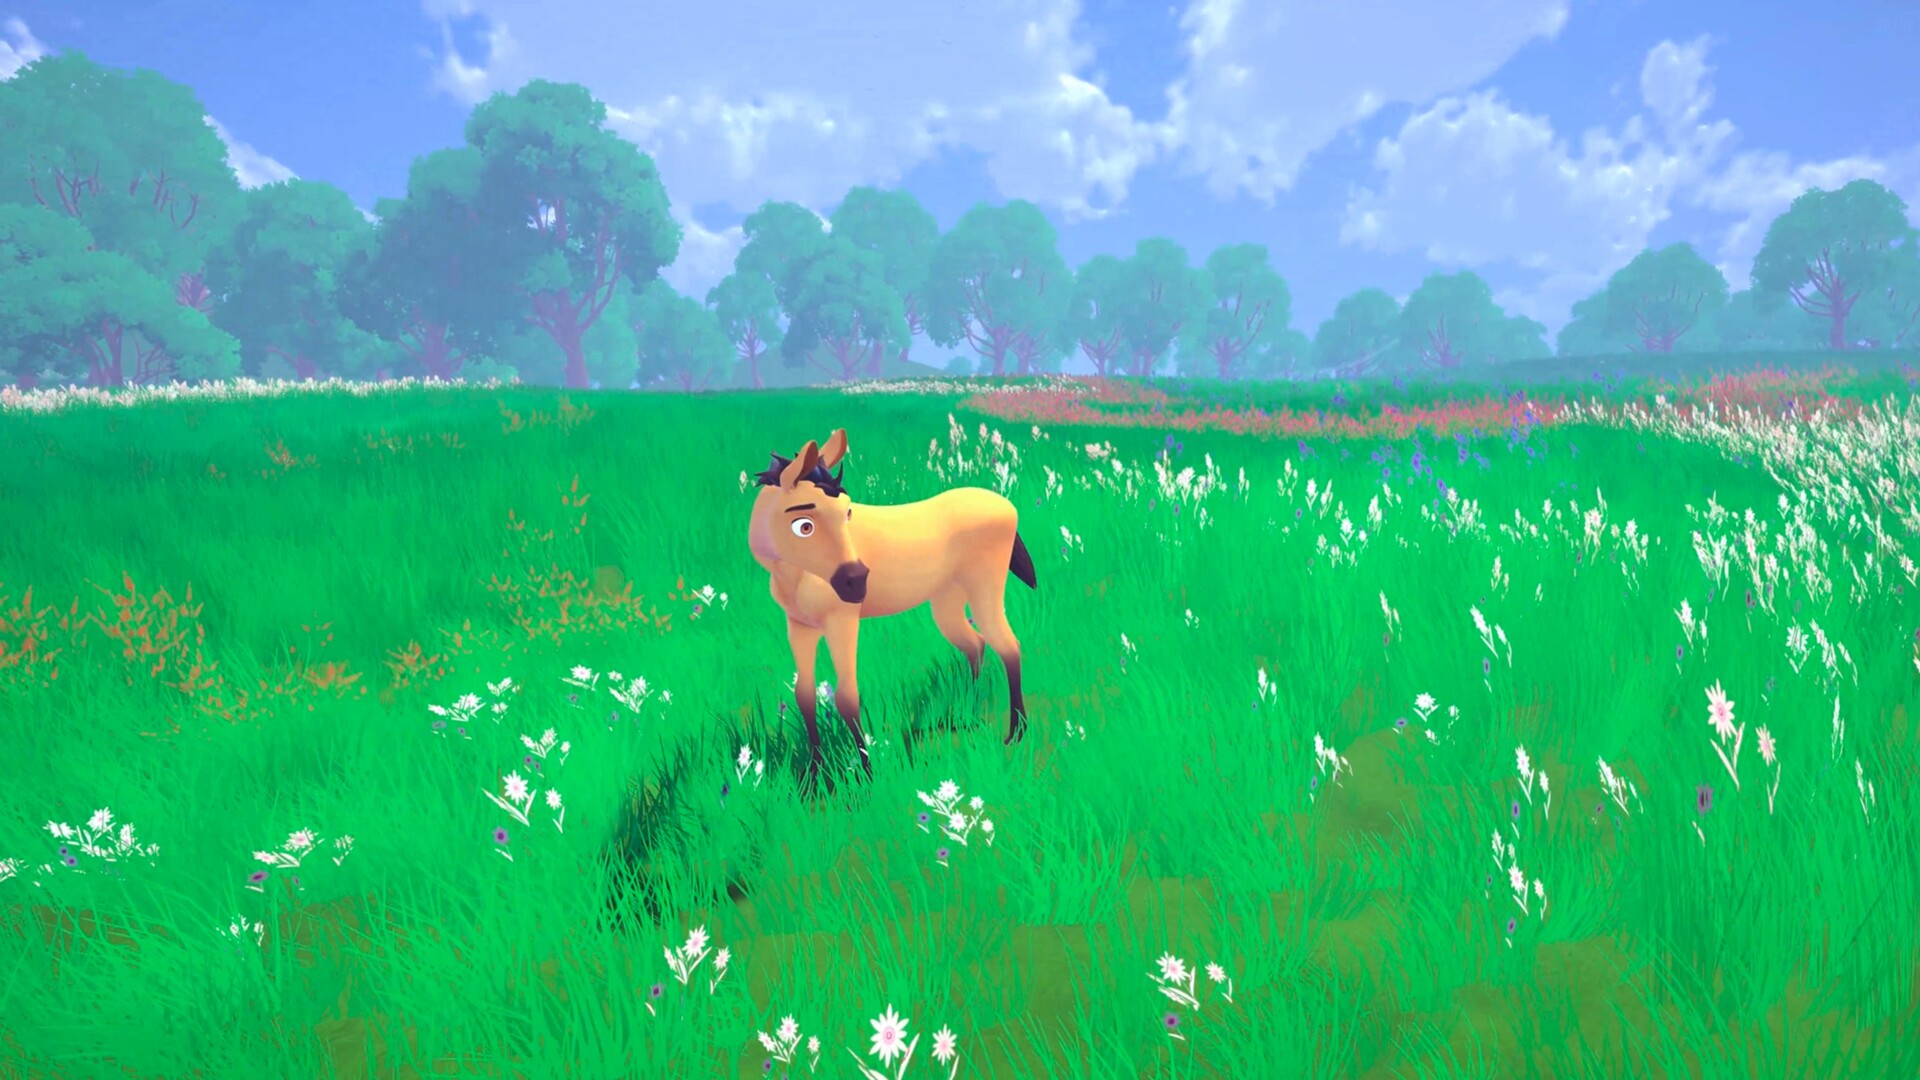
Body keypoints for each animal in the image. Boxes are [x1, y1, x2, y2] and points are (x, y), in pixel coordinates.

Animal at [746, 428, 1037, 781]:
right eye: (803, 525)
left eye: (848, 512)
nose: (857, 582)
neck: (796, 574)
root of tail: (1004, 502)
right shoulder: (799, 626)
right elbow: (804, 694)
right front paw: (815, 774)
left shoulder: (842, 620)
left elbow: (846, 696)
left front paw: (865, 775)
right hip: (947, 600)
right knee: (975, 644)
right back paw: (963, 713)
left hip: (985, 586)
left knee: (1007, 645)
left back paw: (1016, 733)